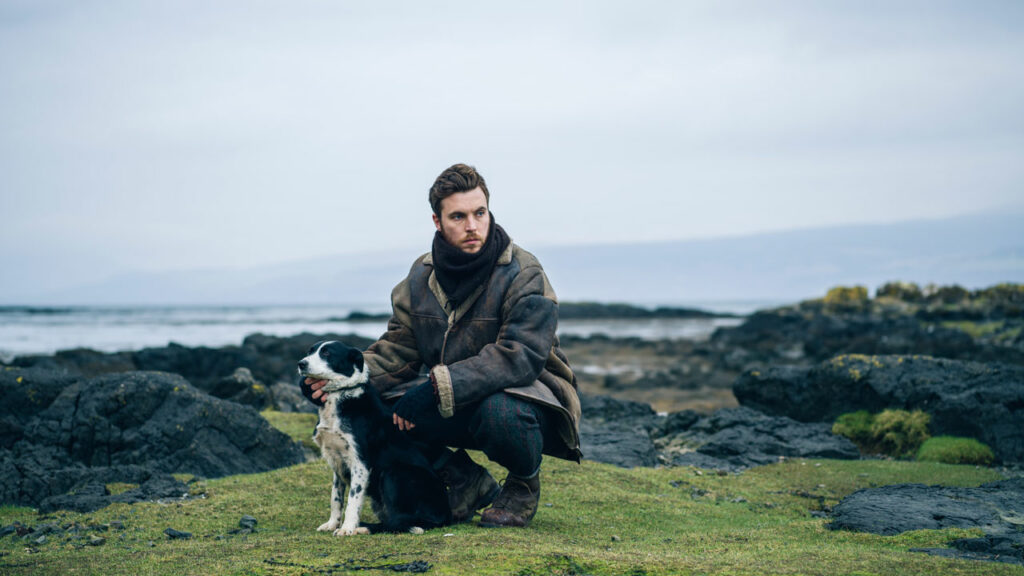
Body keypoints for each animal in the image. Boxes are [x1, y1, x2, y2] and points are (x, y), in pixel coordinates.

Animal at [299, 336, 454, 532]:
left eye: (326, 353)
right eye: (310, 352)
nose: (301, 363)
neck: (340, 394)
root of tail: (446, 516)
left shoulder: (360, 462)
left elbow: (353, 500)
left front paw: (347, 528)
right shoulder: (337, 462)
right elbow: (336, 498)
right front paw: (332, 524)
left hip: (393, 473)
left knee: (399, 522)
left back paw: (363, 528)